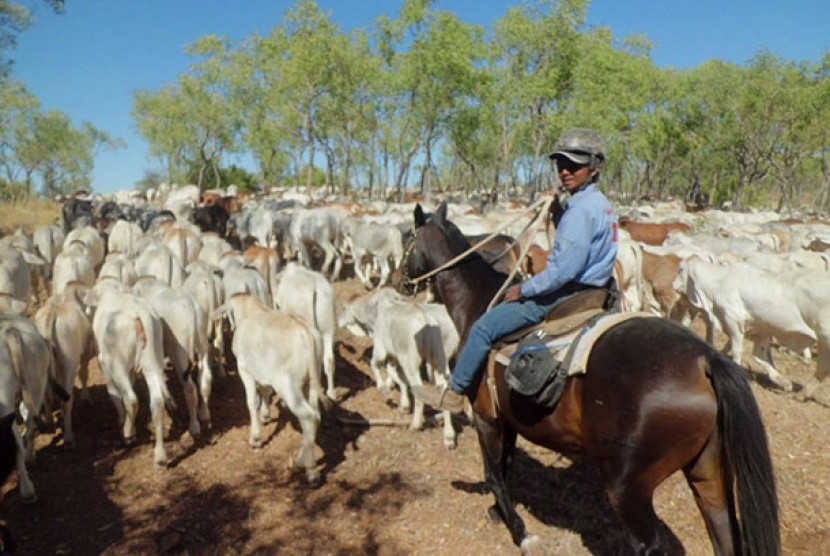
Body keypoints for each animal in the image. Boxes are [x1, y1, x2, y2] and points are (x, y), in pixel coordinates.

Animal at [404, 203, 780, 556]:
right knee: (725, 535)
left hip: (627, 487)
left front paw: (520, 532)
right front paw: (499, 513)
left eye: (407, 237)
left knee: (648, 544)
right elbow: (505, 466)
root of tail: (704, 360)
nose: (401, 281)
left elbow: (493, 473)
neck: (479, 300)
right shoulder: (506, 420)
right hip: (708, 473)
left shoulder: (486, 417)